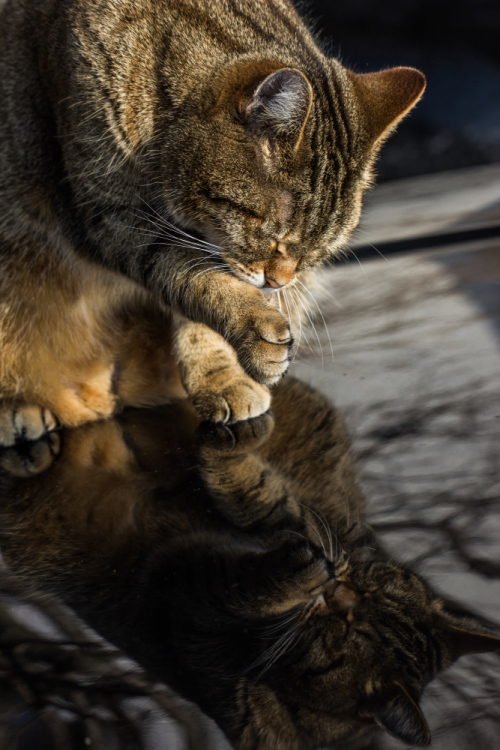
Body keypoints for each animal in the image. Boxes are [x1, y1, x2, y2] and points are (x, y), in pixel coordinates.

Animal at [0, 0, 426, 446]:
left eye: (317, 253)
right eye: (273, 237)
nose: (279, 283)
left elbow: (197, 313)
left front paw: (222, 378)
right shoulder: (106, 214)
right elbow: (192, 275)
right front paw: (252, 324)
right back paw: (19, 404)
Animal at [1, 382, 498, 750]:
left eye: (344, 629)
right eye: (364, 591)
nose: (334, 586)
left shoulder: (185, 596)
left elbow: (237, 581)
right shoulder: (310, 521)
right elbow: (263, 495)